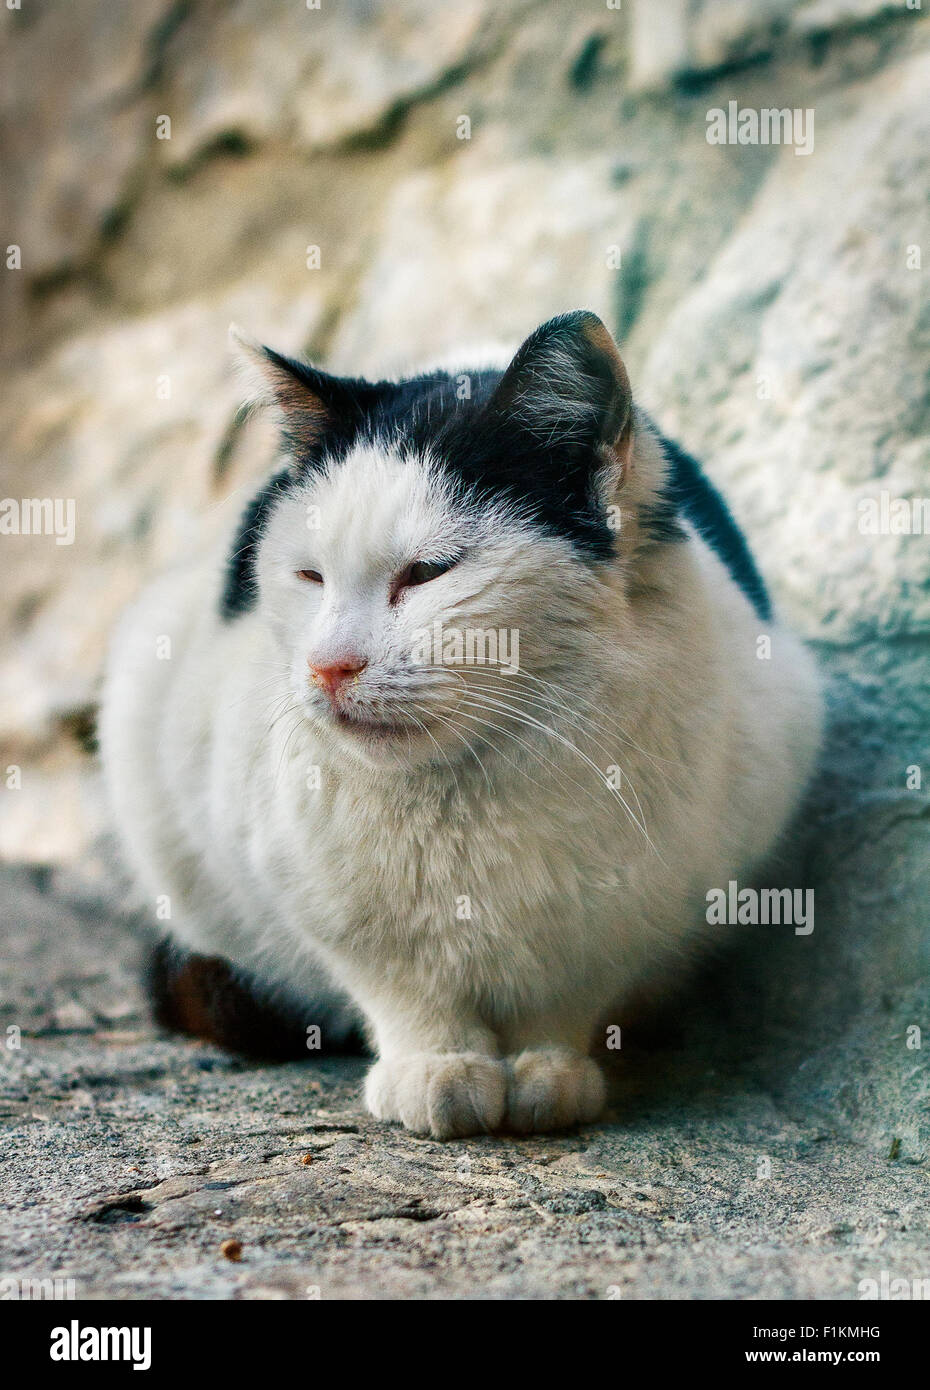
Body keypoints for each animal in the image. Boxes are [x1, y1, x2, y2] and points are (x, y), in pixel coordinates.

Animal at [98, 315, 817, 1139]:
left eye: (426, 573)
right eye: (309, 577)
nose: (328, 666)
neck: (473, 787)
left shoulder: (631, 917)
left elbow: (565, 997)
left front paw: (547, 1073)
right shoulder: (319, 901)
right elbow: (404, 990)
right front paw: (436, 1070)